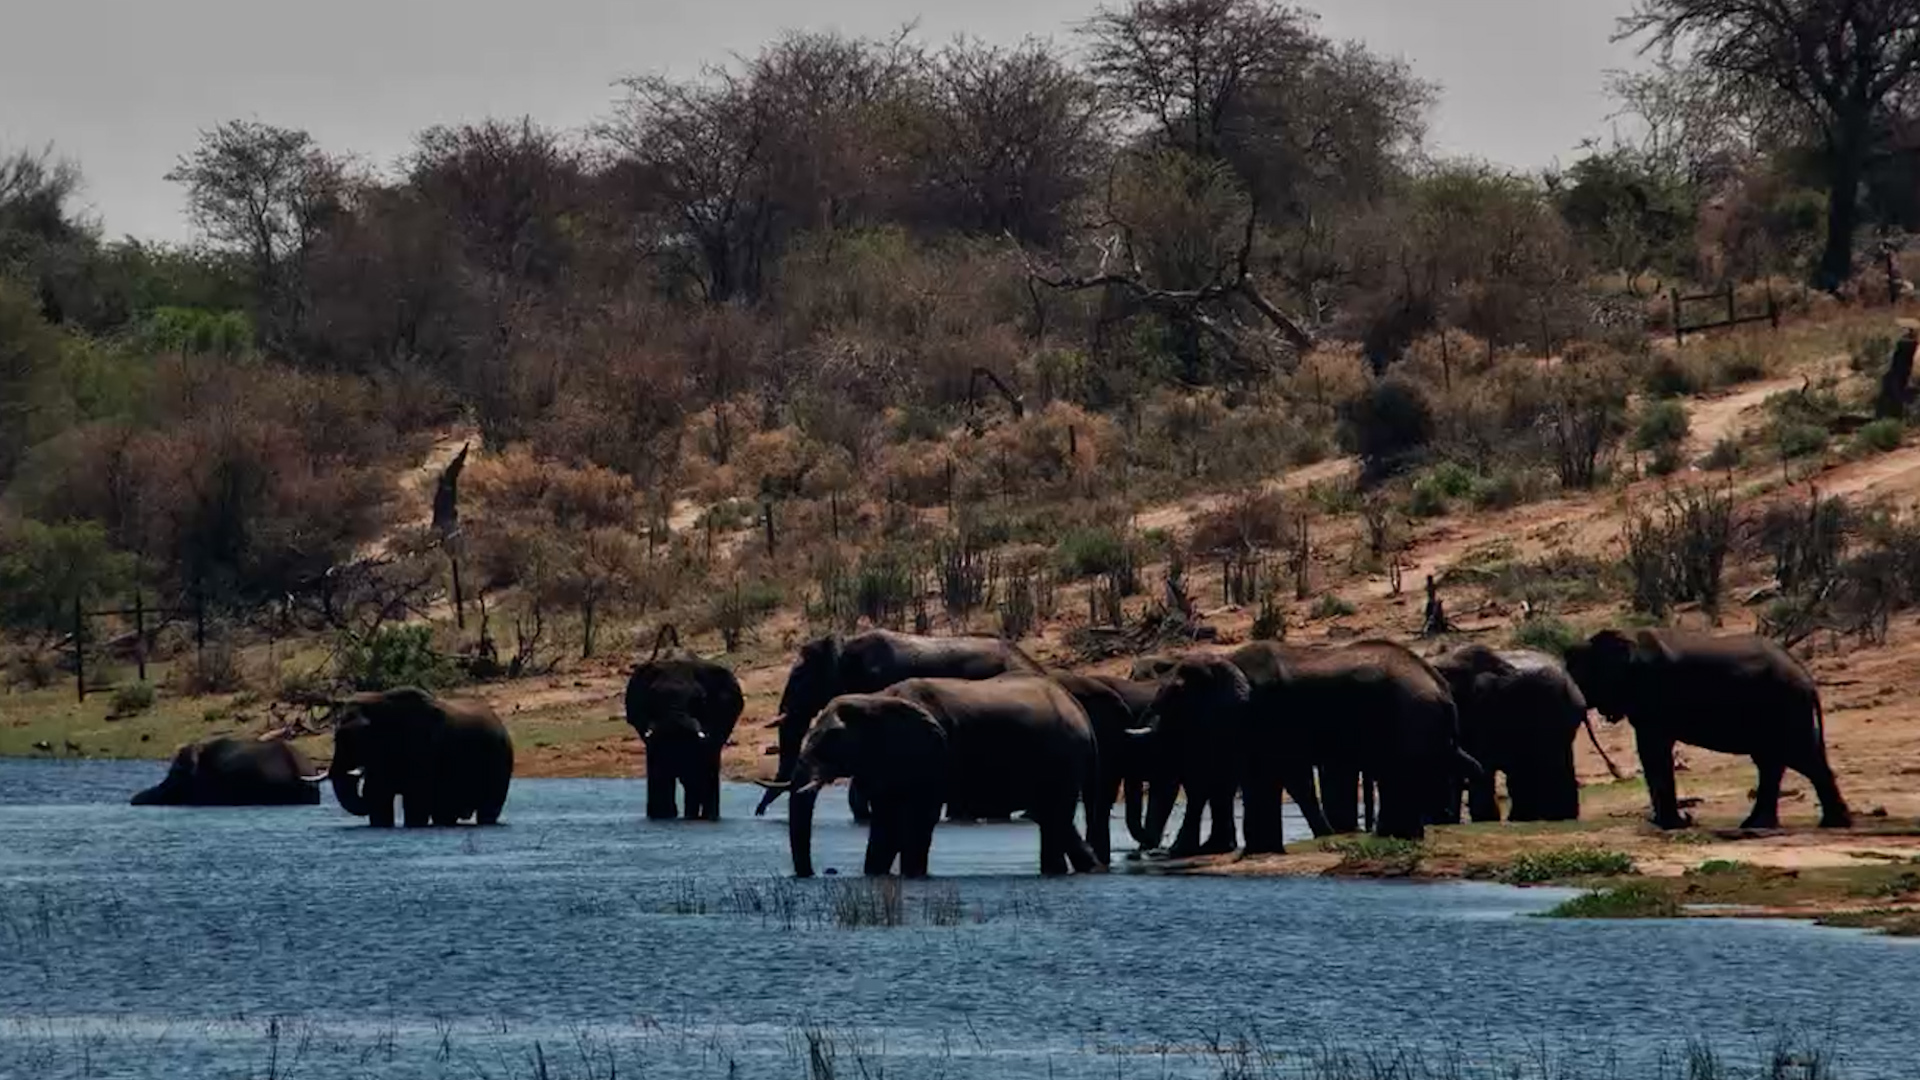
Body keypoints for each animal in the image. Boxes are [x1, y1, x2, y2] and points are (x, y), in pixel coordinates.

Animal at [323, 687, 514, 827]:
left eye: (357, 739)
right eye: (335, 738)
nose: (355, 772)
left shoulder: (423, 749)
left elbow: (415, 801)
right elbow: (378, 794)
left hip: (500, 763)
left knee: (488, 810)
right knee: (445, 812)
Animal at [769, 675, 1103, 878]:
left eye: (833, 738)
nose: (817, 873)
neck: (875, 699)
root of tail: (1080, 712)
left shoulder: (933, 756)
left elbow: (917, 819)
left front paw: (913, 876)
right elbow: (886, 823)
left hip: (1065, 758)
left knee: (1056, 819)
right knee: (1054, 821)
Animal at [1561, 628, 1850, 830]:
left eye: (1579, 675)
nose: (1616, 770)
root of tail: (1807, 677)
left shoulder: (1653, 694)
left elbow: (1654, 750)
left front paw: (1672, 825)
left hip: (1785, 705)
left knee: (1800, 757)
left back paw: (1833, 823)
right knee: (1773, 761)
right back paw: (1758, 825)